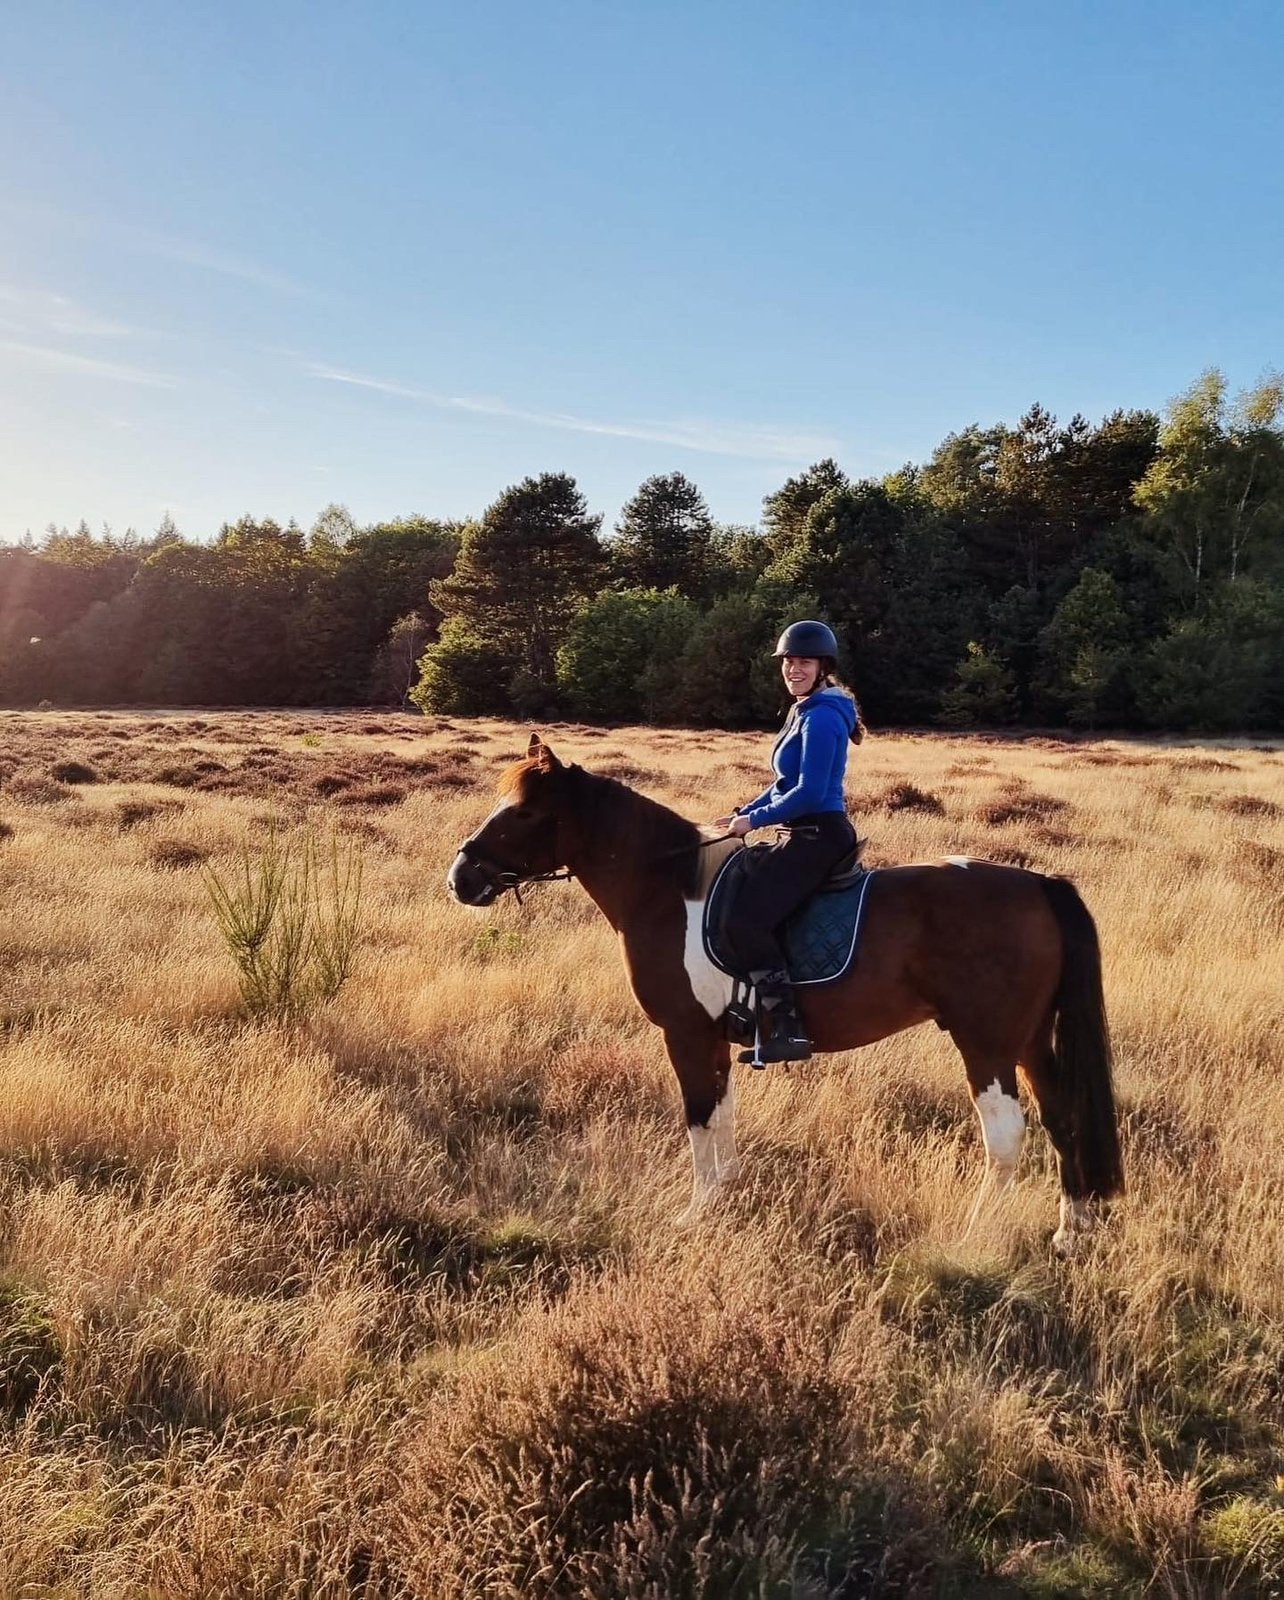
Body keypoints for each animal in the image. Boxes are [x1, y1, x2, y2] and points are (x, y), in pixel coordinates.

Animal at [447, 735, 1123, 1253]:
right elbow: (721, 1118)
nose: (461, 878)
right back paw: (1070, 1235)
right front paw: (722, 1200)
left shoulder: (686, 1034)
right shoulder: (715, 1039)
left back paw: (973, 1236)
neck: (668, 889)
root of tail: (1038, 885)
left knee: (1006, 1136)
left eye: (524, 814)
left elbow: (699, 1119)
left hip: (986, 1045)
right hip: (1029, 1041)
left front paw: (695, 1214)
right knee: (1062, 1118)